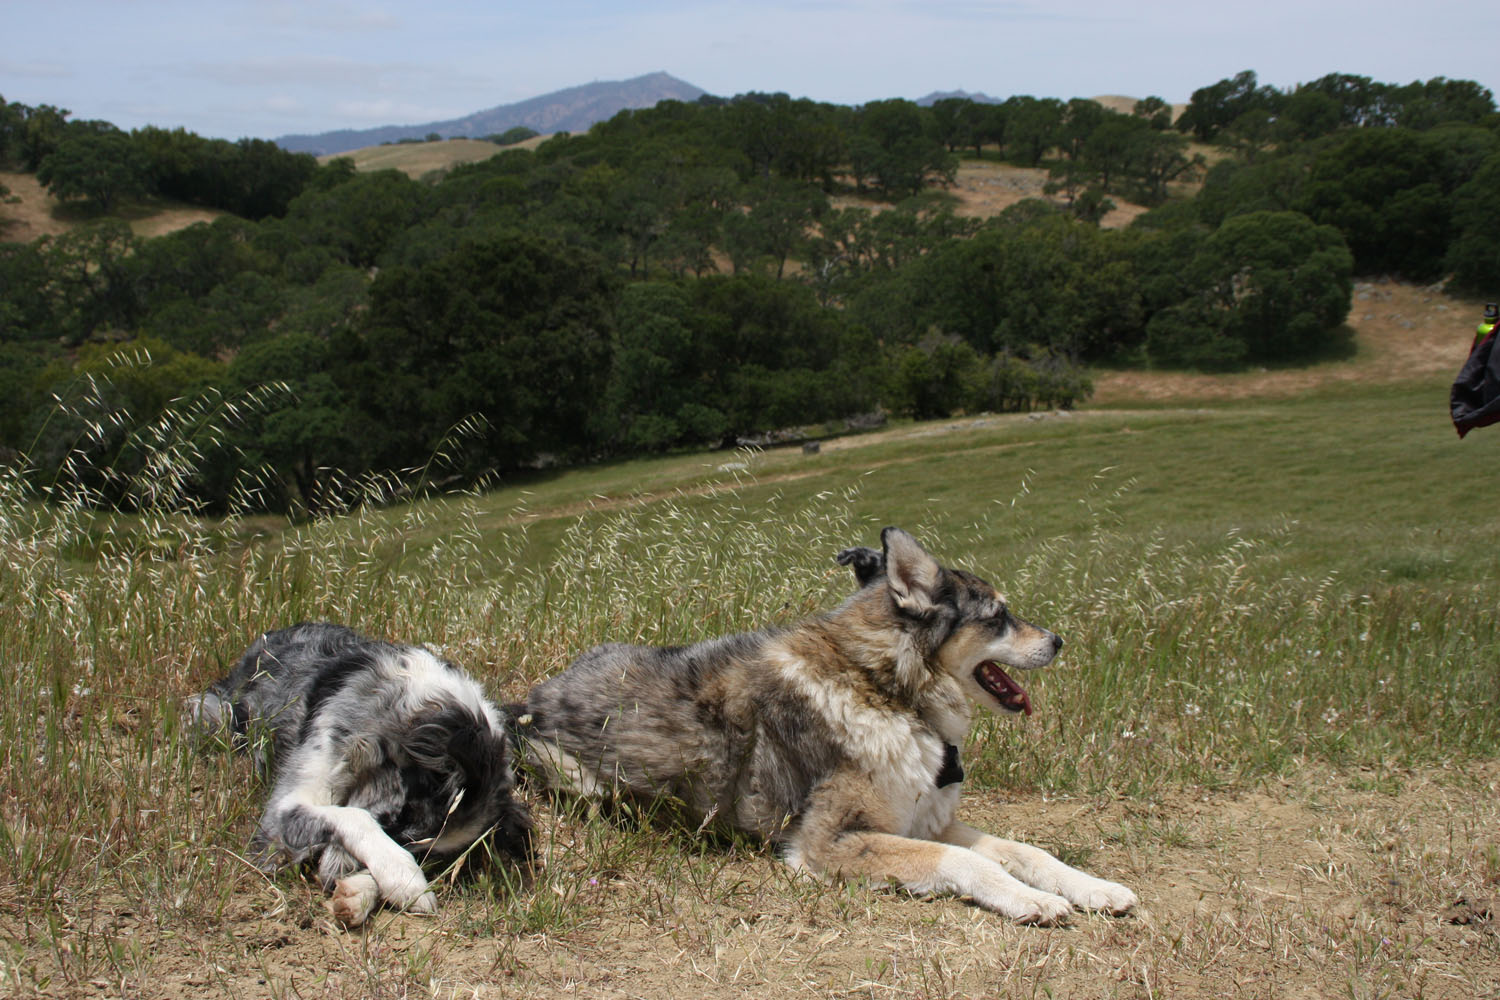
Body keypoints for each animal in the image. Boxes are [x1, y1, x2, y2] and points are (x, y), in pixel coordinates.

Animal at [185, 623, 531, 927]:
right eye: (395, 825)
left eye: (431, 860)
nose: (331, 879)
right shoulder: (284, 809)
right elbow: (353, 817)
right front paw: (402, 876)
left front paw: (361, 892)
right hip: (212, 713)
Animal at [518, 527, 1136, 923]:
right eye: (998, 616)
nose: (1059, 640)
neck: (887, 691)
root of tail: (532, 697)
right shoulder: (829, 842)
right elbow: (966, 861)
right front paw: (1033, 902)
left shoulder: (923, 820)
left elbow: (1027, 852)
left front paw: (1095, 889)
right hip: (575, 776)